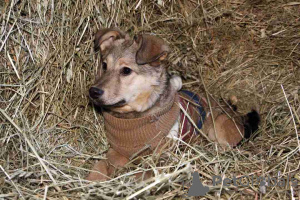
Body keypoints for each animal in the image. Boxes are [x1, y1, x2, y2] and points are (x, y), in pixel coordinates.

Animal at [86, 27, 260, 181]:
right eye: (104, 65)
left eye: (126, 71)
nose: (93, 91)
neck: (133, 118)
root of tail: (238, 116)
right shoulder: (116, 150)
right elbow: (100, 165)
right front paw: (93, 181)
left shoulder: (160, 155)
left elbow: (143, 173)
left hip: (218, 127)